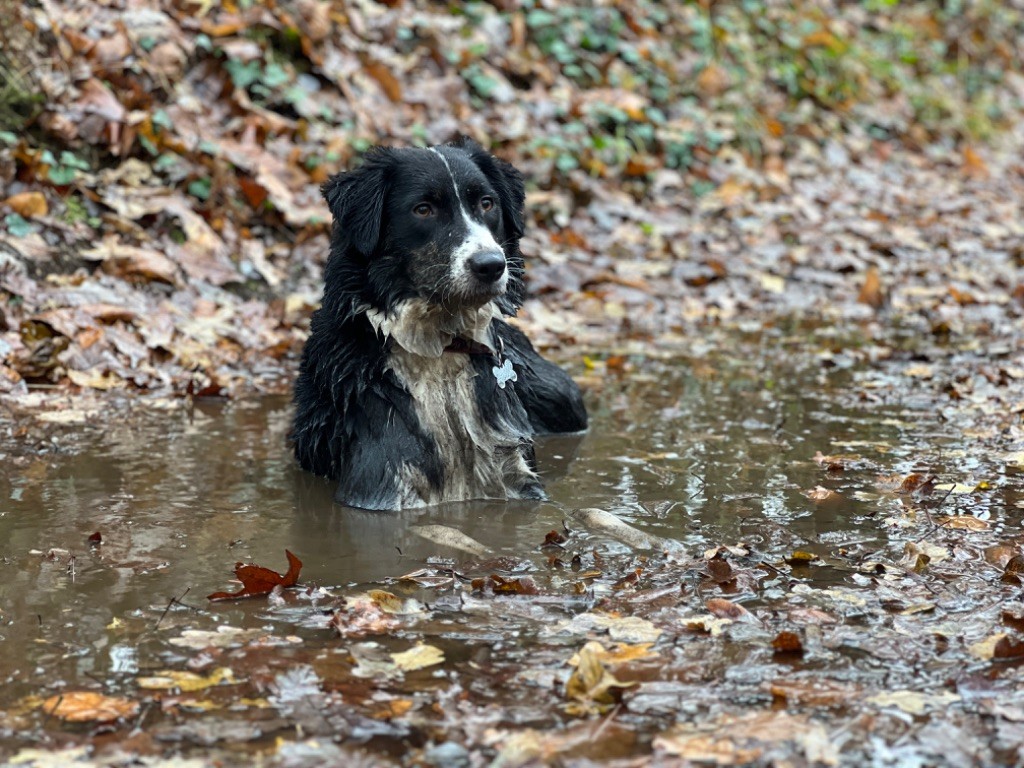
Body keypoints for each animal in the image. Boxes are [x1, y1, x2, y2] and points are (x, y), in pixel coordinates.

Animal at [292, 138, 589, 512]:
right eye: (423, 209)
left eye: (487, 204)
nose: (491, 265)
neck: (440, 348)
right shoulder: (380, 485)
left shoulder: (516, 473)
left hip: (561, 396)